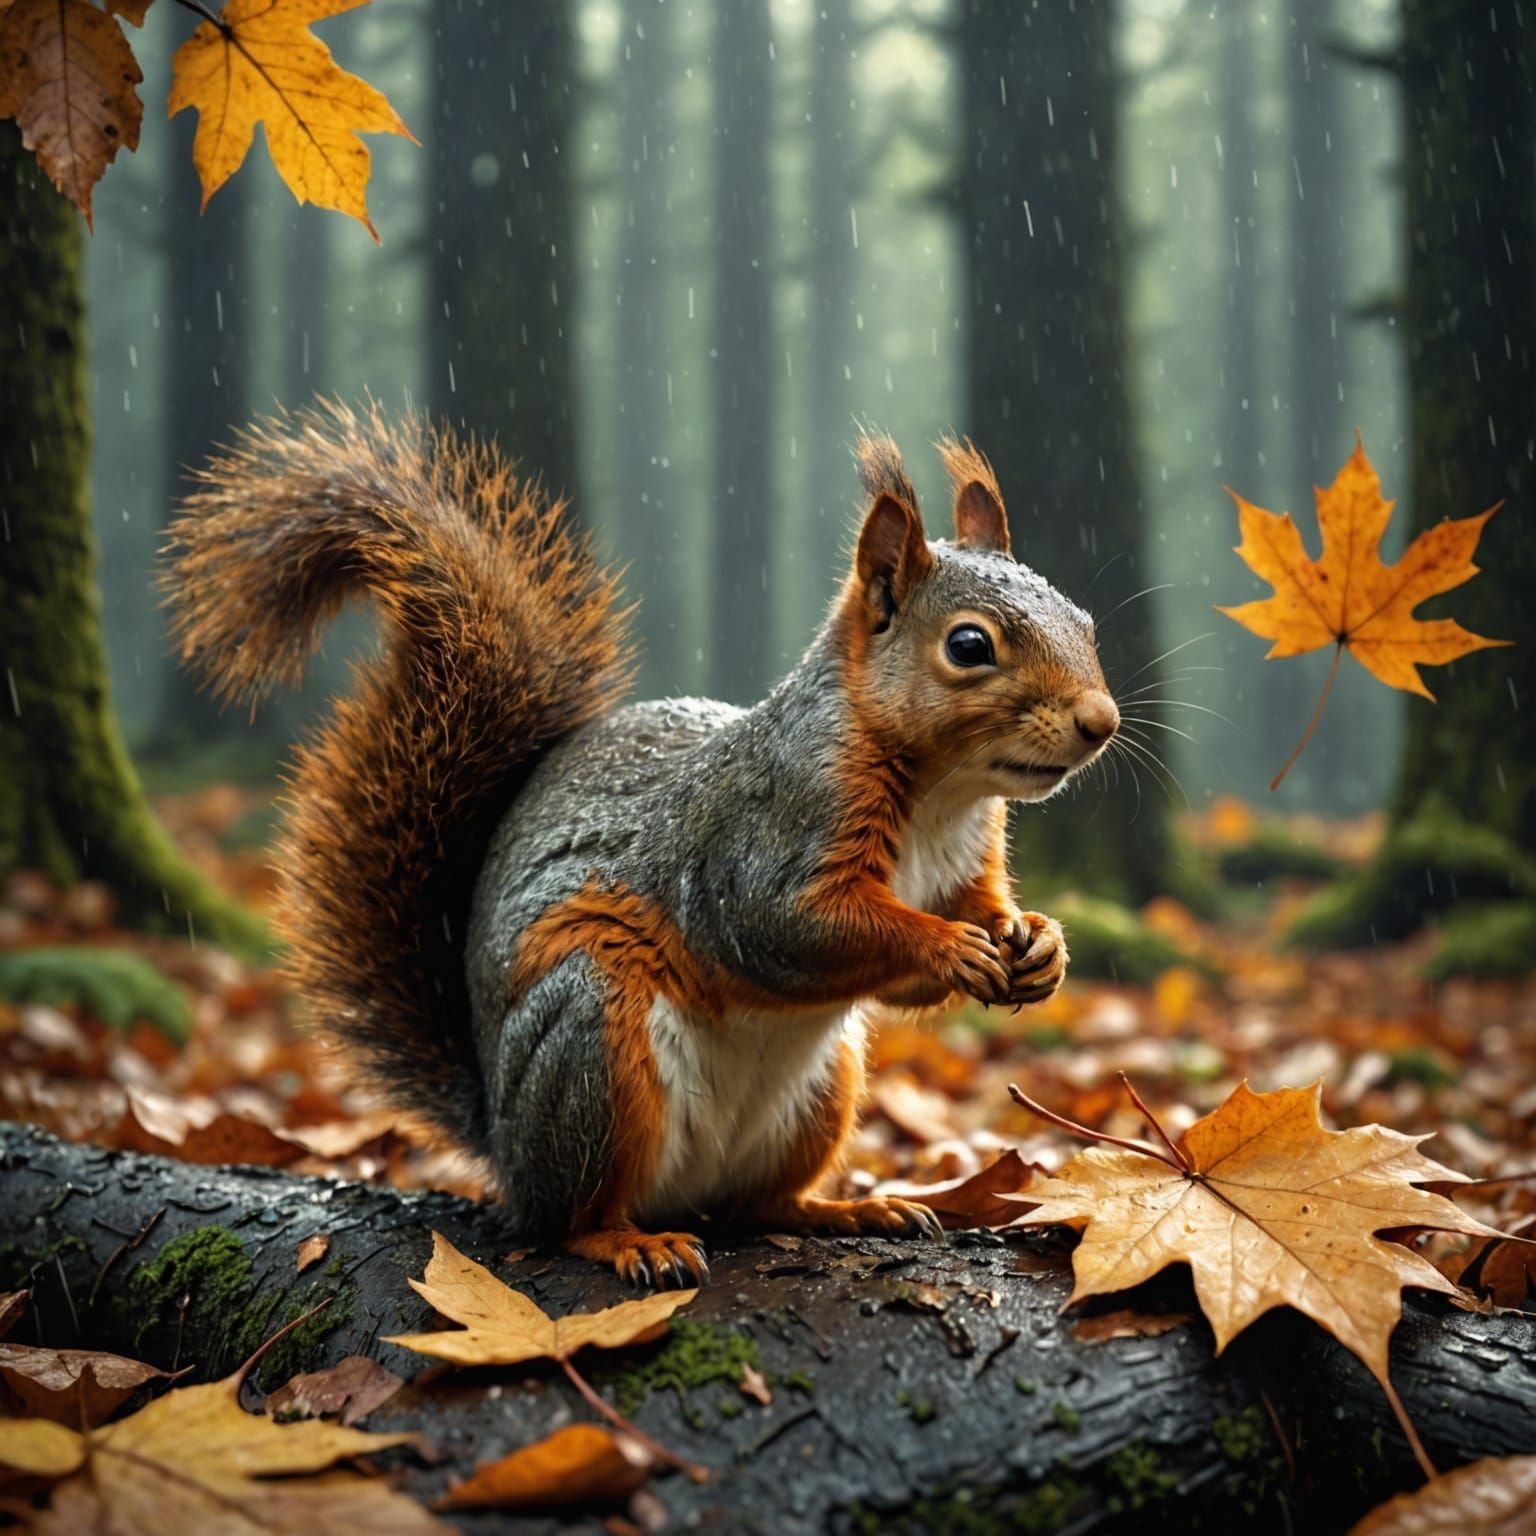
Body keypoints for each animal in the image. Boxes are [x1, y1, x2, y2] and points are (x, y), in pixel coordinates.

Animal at [165, 402, 1120, 1289]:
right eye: (969, 645)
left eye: (1086, 620)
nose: (1101, 722)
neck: (941, 794)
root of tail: (501, 1140)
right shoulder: (761, 842)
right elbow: (796, 931)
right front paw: (951, 949)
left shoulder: (964, 863)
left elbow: (975, 911)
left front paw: (1039, 945)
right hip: (594, 1035)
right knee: (569, 1217)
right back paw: (632, 1242)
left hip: (822, 1092)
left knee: (757, 1205)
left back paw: (848, 1209)